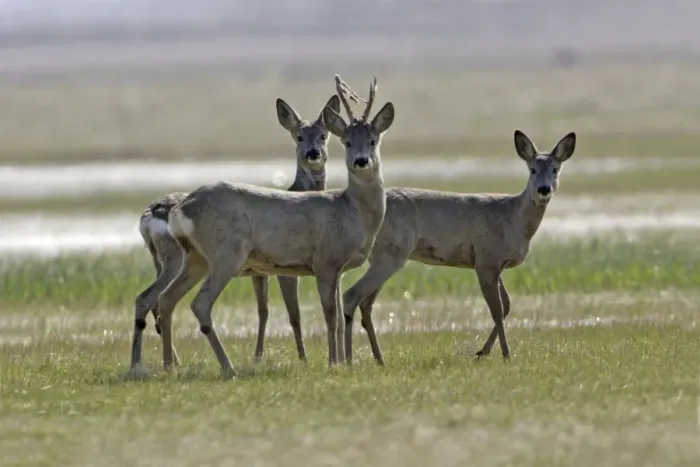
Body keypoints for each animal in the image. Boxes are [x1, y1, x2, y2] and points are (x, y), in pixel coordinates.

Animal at [129, 94, 342, 371]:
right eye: (299, 136)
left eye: (323, 135)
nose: (313, 153)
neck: (298, 191)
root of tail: (149, 214)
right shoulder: (283, 270)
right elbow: (292, 312)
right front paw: (302, 358)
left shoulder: (260, 272)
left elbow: (263, 311)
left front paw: (259, 356)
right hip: (176, 259)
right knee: (153, 298)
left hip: (165, 261)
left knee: (148, 298)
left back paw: (150, 362)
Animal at [154, 75, 394, 377]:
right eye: (347, 142)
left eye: (373, 141)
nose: (362, 161)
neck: (351, 211)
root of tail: (182, 207)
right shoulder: (325, 261)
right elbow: (329, 316)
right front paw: (332, 363)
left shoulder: (338, 269)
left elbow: (339, 317)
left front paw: (340, 362)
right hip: (226, 252)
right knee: (199, 304)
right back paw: (229, 368)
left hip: (195, 257)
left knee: (166, 299)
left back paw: (167, 368)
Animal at [341, 130, 577, 364]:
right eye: (532, 169)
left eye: (555, 169)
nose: (543, 189)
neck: (514, 218)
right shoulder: (487, 260)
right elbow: (497, 310)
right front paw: (506, 355)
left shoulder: (495, 264)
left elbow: (507, 305)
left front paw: (482, 352)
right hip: (390, 254)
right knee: (354, 295)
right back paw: (355, 360)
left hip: (383, 256)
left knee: (366, 304)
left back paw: (379, 359)